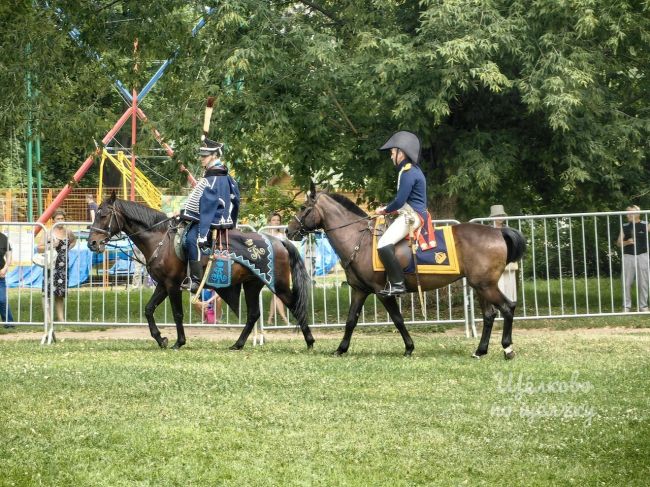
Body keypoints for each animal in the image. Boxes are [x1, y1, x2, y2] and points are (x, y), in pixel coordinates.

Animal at [86, 193, 314, 350]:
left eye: (104, 215)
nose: (92, 243)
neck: (160, 240)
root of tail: (278, 241)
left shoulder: (172, 285)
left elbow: (177, 313)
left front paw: (179, 342)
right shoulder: (162, 285)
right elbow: (149, 309)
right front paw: (161, 339)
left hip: (278, 285)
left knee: (295, 306)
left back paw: (310, 341)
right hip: (252, 284)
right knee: (253, 314)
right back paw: (238, 344)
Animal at [286, 186, 524, 358]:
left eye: (304, 207)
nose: (289, 231)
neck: (358, 239)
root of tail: (498, 232)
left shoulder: (382, 292)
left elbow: (397, 319)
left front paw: (409, 348)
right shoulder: (359, 290)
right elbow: (351, 320)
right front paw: (341, 349)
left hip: (486, 286)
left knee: (507, 307)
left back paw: (507, 349)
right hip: (480, 286)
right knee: (489, 315)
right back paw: (480, 351)